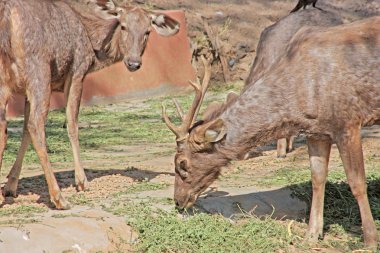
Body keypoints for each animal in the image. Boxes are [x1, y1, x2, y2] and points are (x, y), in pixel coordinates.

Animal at [0, 0, 179, 210]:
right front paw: (82, 181)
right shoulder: (77, 71)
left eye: (148, 31)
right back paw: (59, 197)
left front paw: (10, 186)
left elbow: (25, 132)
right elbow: (71, 123)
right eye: (123, 26)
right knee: (36, 125)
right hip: (39, 69)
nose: (134, 63)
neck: (94, 51)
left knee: (7, 127)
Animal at [163, 16, 380, 248]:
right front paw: (310, 235)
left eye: (182, 163)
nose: (178, 201)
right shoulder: (317, 131)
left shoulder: (347, 121)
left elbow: (357, 183)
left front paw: (369, 239)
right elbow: (317, 180)